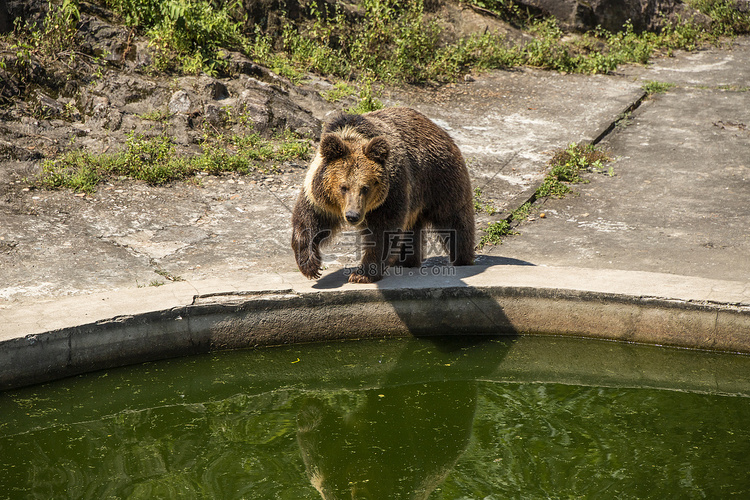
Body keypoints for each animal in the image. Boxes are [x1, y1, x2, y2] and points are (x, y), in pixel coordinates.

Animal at [292, 107, 476, 284]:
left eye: (365, 188)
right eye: (343, 187)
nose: (352, 216)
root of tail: (438, 129)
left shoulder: (390, 194)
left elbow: (383, 231)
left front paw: (362, 274)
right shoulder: (318, 197)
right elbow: (308, 221)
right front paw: (310, 265)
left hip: (440, 180)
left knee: (454, 221)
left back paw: (462, 259)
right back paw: (406, 261)